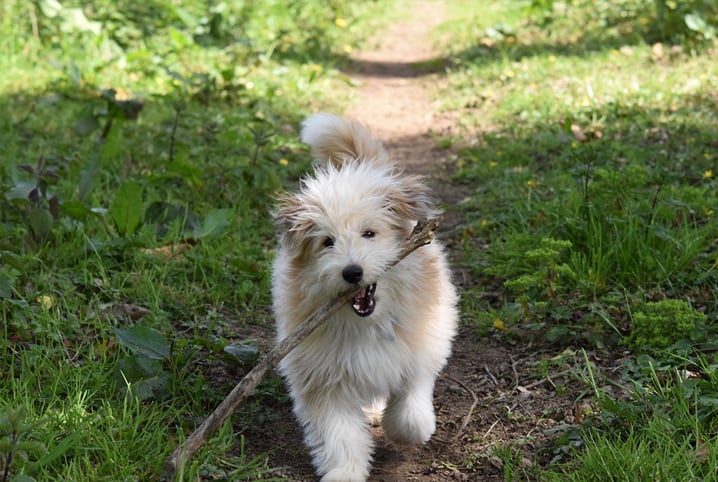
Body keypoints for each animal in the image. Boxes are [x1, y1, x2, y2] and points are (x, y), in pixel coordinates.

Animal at [270, 115, 462, 480]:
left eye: (369, 233)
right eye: (327, 242)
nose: (352, 272)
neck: (367, 323)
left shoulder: (420, 345)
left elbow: (411, 408)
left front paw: (405, 429)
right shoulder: (322, 376)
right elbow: (339, 434)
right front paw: (344, 471)